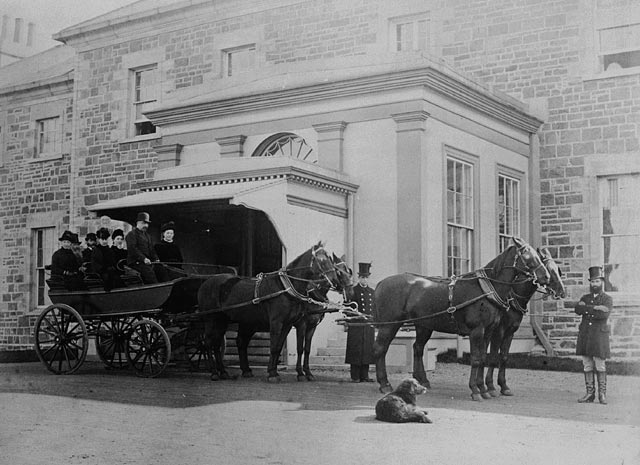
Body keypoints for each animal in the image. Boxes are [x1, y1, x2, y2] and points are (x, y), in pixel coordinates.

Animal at [196, 241, 345, 382]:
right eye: (322, 260)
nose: (336, 281)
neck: (286, 287)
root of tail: (206, 282)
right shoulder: (282, 323)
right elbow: (277, 347)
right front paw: (275, 374)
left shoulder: (289, 324)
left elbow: (281, 347)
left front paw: (277, 371)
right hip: (211, 319)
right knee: (209, 343)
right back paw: (214, 373)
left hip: (225, 320)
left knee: (222, 344)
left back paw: (227, 372)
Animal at [371, 236, 550, 400]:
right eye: (527, 255)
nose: (546, 276)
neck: (486, 289)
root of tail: (381, 283)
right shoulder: (477, 330)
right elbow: (476, 359)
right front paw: (476, 390)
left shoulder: (488, 331)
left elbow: (483, 358)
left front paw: (484, 388)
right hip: (389, 325)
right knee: (380, 349)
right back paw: (384, 384)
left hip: (424, 325)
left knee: (417, 348)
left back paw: (421, 381)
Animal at [484, 247, 566, 397]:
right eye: (548, 269)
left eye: (558, 270)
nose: (562, 292)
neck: (512, 298)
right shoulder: (498, 331)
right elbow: (492, 356)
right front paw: (490, 386)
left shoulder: (510, 332)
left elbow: (504, 357)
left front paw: (503, 386)